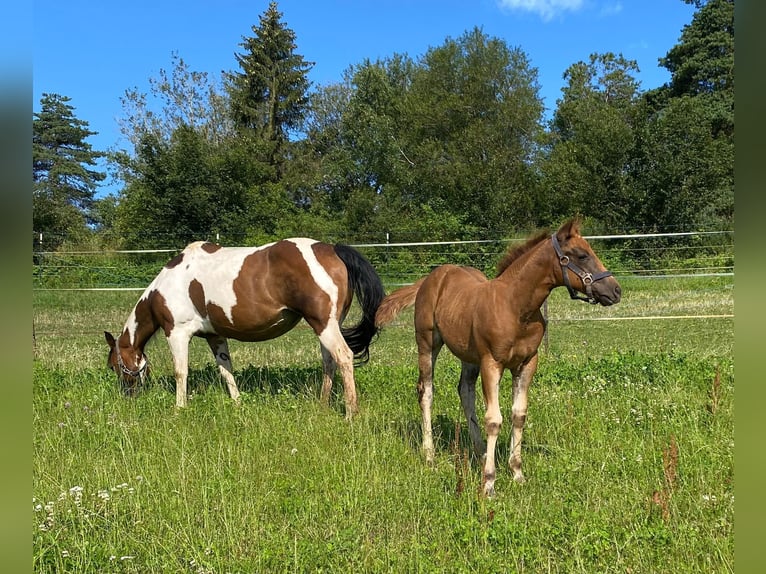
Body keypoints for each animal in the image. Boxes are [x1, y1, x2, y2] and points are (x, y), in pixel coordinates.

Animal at [105, 238, 388, 418]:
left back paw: (350, 413)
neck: (165, 288)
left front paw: (179, 408)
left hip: (324, 325)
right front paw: (238, 403)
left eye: (114, 365)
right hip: (329, 326)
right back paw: (323, 405)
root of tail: (331, 249)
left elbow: (180, 372)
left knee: (343, 356)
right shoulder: (215, 336)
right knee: (329, 362)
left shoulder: (177, 333)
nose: (128, 396)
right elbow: (226, 370)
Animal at [378, 218, 624, 498]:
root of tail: (431, 277)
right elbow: (494, 419)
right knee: (426, 392)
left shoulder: (527, 363)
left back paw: (481, 452)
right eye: (582, 255)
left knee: (465, 392)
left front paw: (516, 472)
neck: (516, 308)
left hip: (469, 356)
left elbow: (519, 414)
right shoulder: (491, 363)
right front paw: (489, 483)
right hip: (428, 344)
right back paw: (429, 455)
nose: (615, 290)